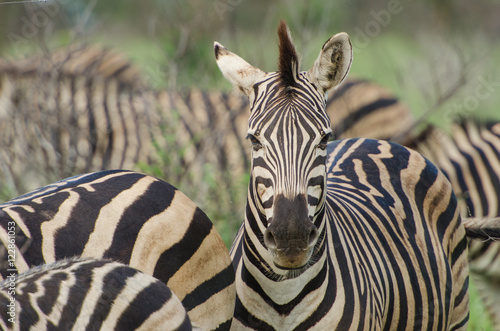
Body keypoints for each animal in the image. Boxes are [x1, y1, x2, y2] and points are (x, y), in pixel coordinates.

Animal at [215, 20, 472, 330]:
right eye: (254, 140)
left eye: (325, 139)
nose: (291, 238)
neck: (282, 299)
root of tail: (376, 140)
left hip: (458, 313)